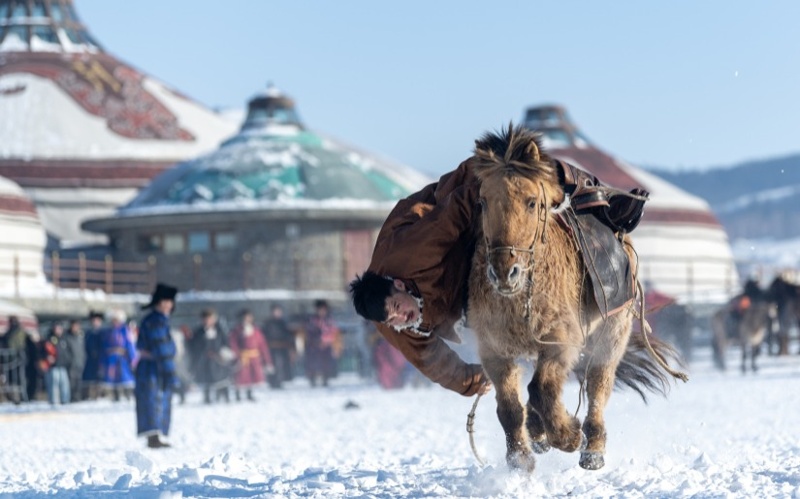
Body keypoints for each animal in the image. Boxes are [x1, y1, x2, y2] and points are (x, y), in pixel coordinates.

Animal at [466, 124, 683, 473]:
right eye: (484, 202)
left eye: (531, 203)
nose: (504, 272)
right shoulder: (494, 349)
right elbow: (510, 406)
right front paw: (520, 457)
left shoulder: (562, 340)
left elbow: (542, 390)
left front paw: (568, 435)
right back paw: (538, 433)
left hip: (612, 334)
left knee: (597, 386)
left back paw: (592, 447)